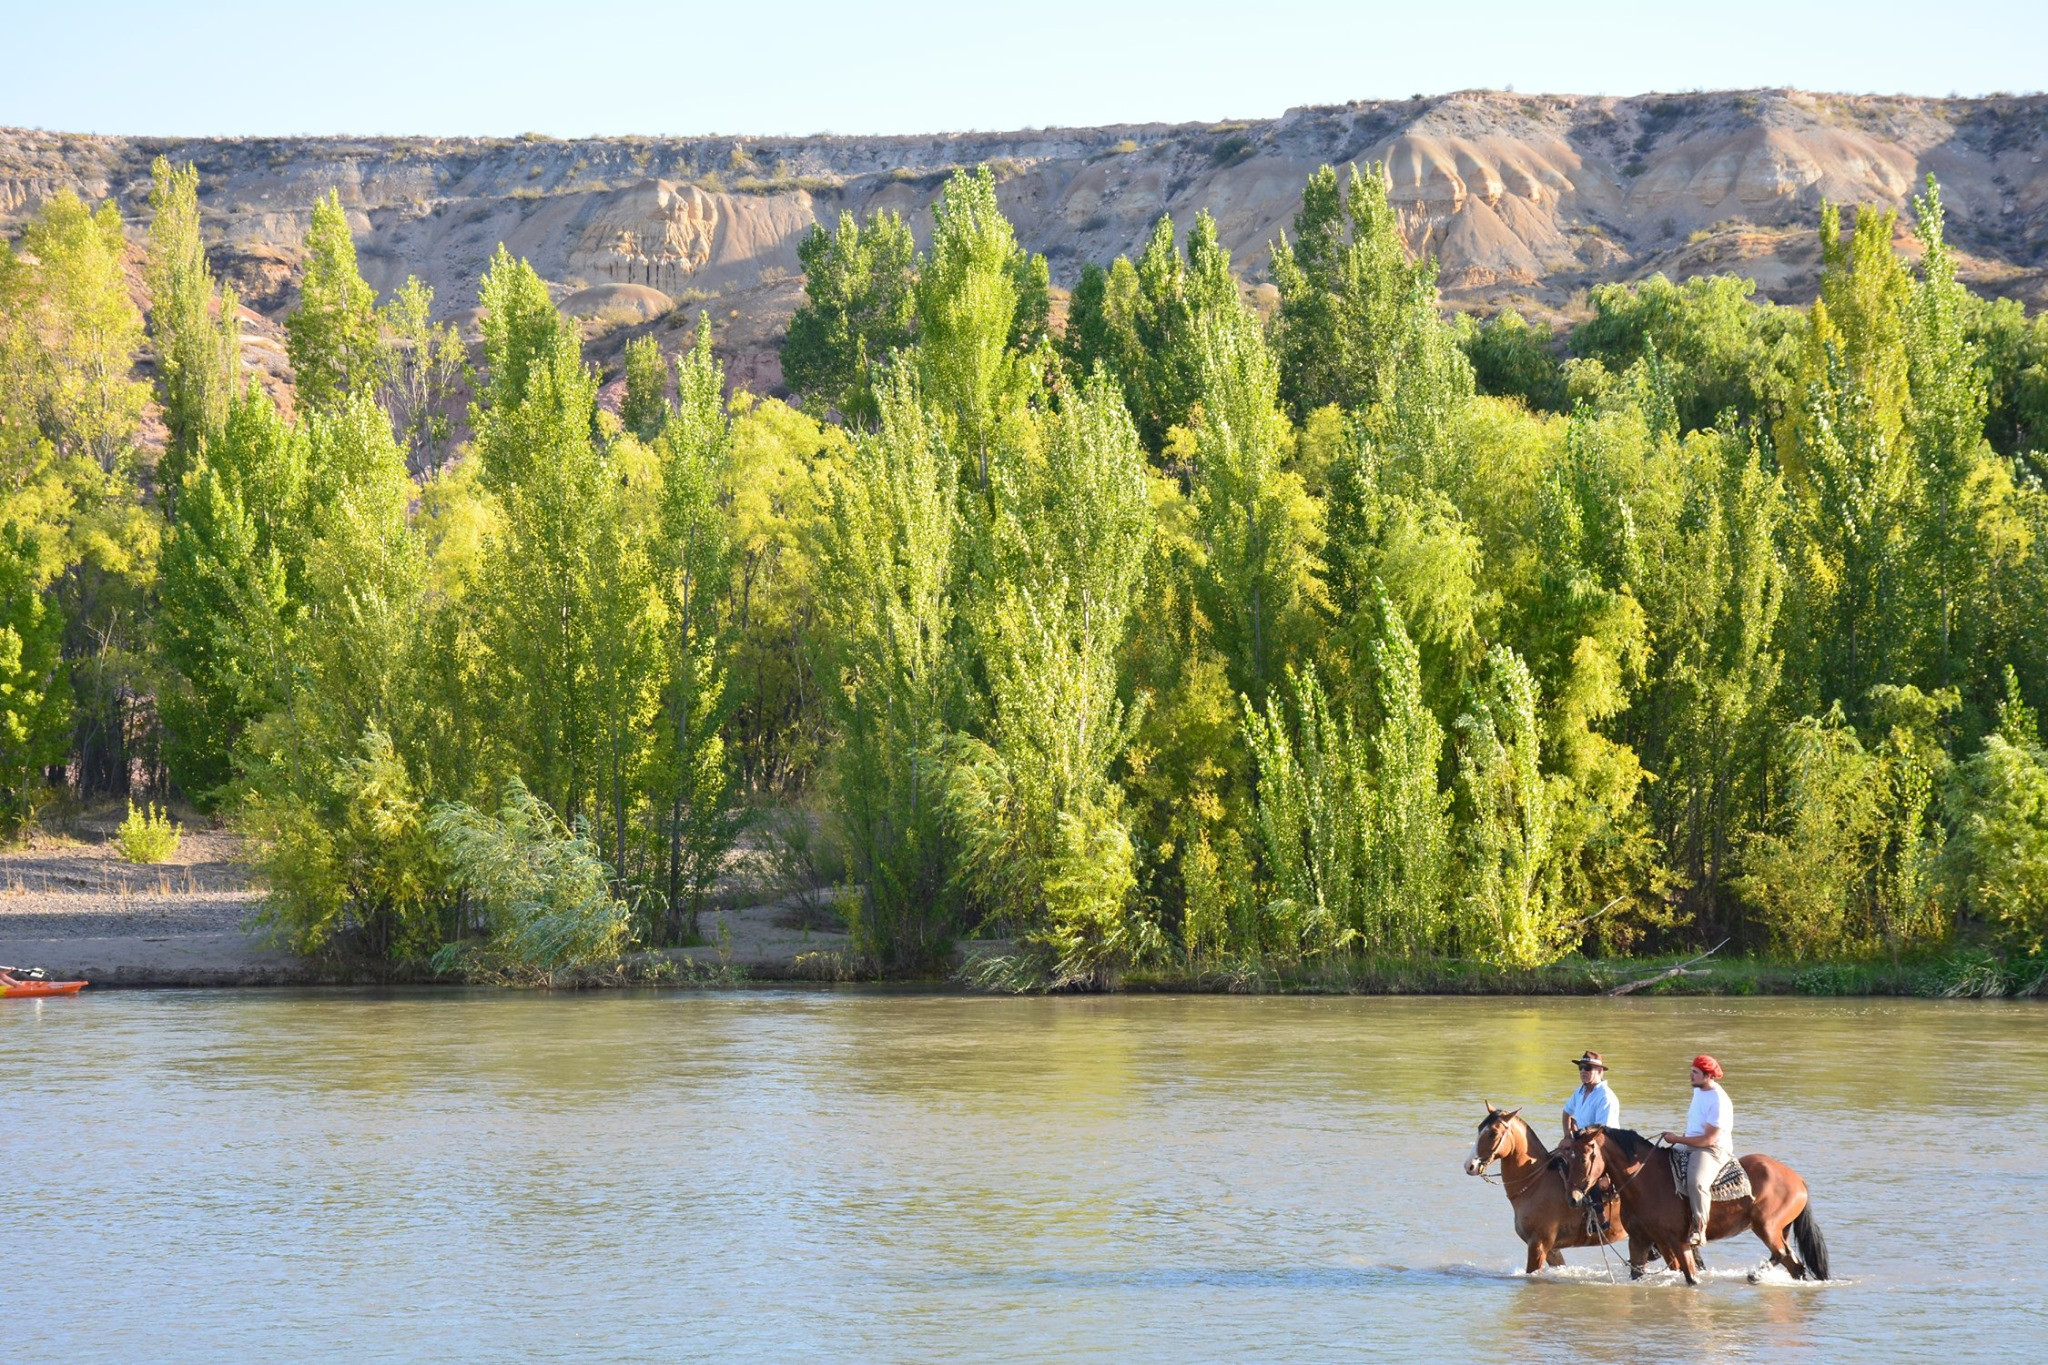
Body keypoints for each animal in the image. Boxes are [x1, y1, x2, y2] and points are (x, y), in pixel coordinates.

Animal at [1466, 1105, 1638, 1277]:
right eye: (1479, 1128)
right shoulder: (1551, 1250)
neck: (1536, 1183)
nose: (1469, 1165)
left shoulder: (1538, 1245)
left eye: (1493, 1133)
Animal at [1556, 1121, 1835, 1285]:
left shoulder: (1679, 1244)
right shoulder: (1639, 1241)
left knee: (1790, 1261)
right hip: (1778, 1230)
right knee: (1787, 1260)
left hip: (1768, 1228)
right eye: (1567, 1154)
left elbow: (1692, 1278)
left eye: (1586, 1156)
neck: (1646, 1182)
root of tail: (1798, 1180)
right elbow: (1638, 1274)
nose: (1573, 1198)